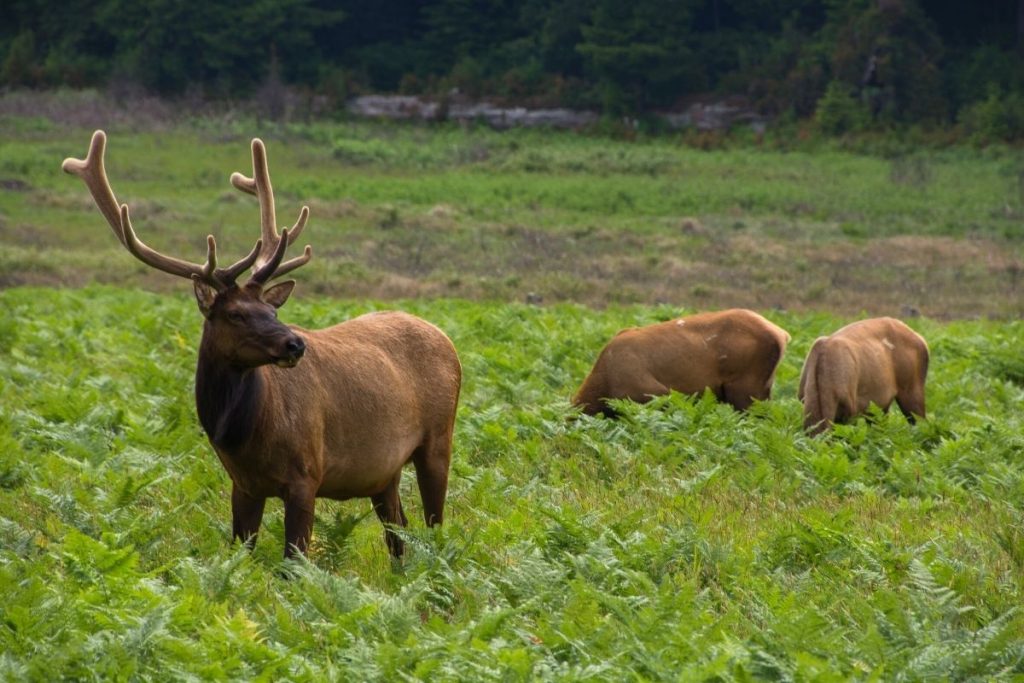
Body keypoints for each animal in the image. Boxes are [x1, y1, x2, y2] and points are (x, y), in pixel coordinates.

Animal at [61, 131, 462, 557]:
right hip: (384, 471)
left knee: (433, 524)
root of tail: (447, 341)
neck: (242, 438)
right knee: (398, 533)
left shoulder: (306, 475)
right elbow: (241, 555)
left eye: (271, 310)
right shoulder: (243, 486)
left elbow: (293, 561)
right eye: (236, 314)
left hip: (439, 440)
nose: (295, 345)